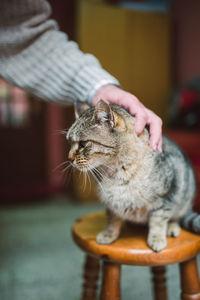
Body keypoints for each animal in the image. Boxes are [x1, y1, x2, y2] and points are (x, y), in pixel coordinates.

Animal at [66, 100, 199, 251]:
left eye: (82, 144)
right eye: (69, 142)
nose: (69, 158)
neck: (115, 173)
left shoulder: (167, 195)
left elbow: (158, 220)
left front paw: (156, 238)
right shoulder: (110, 203)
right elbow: (112, 219)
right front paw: (109, 233)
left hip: (184, 196)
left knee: (176, 216)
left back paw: (172, 228)